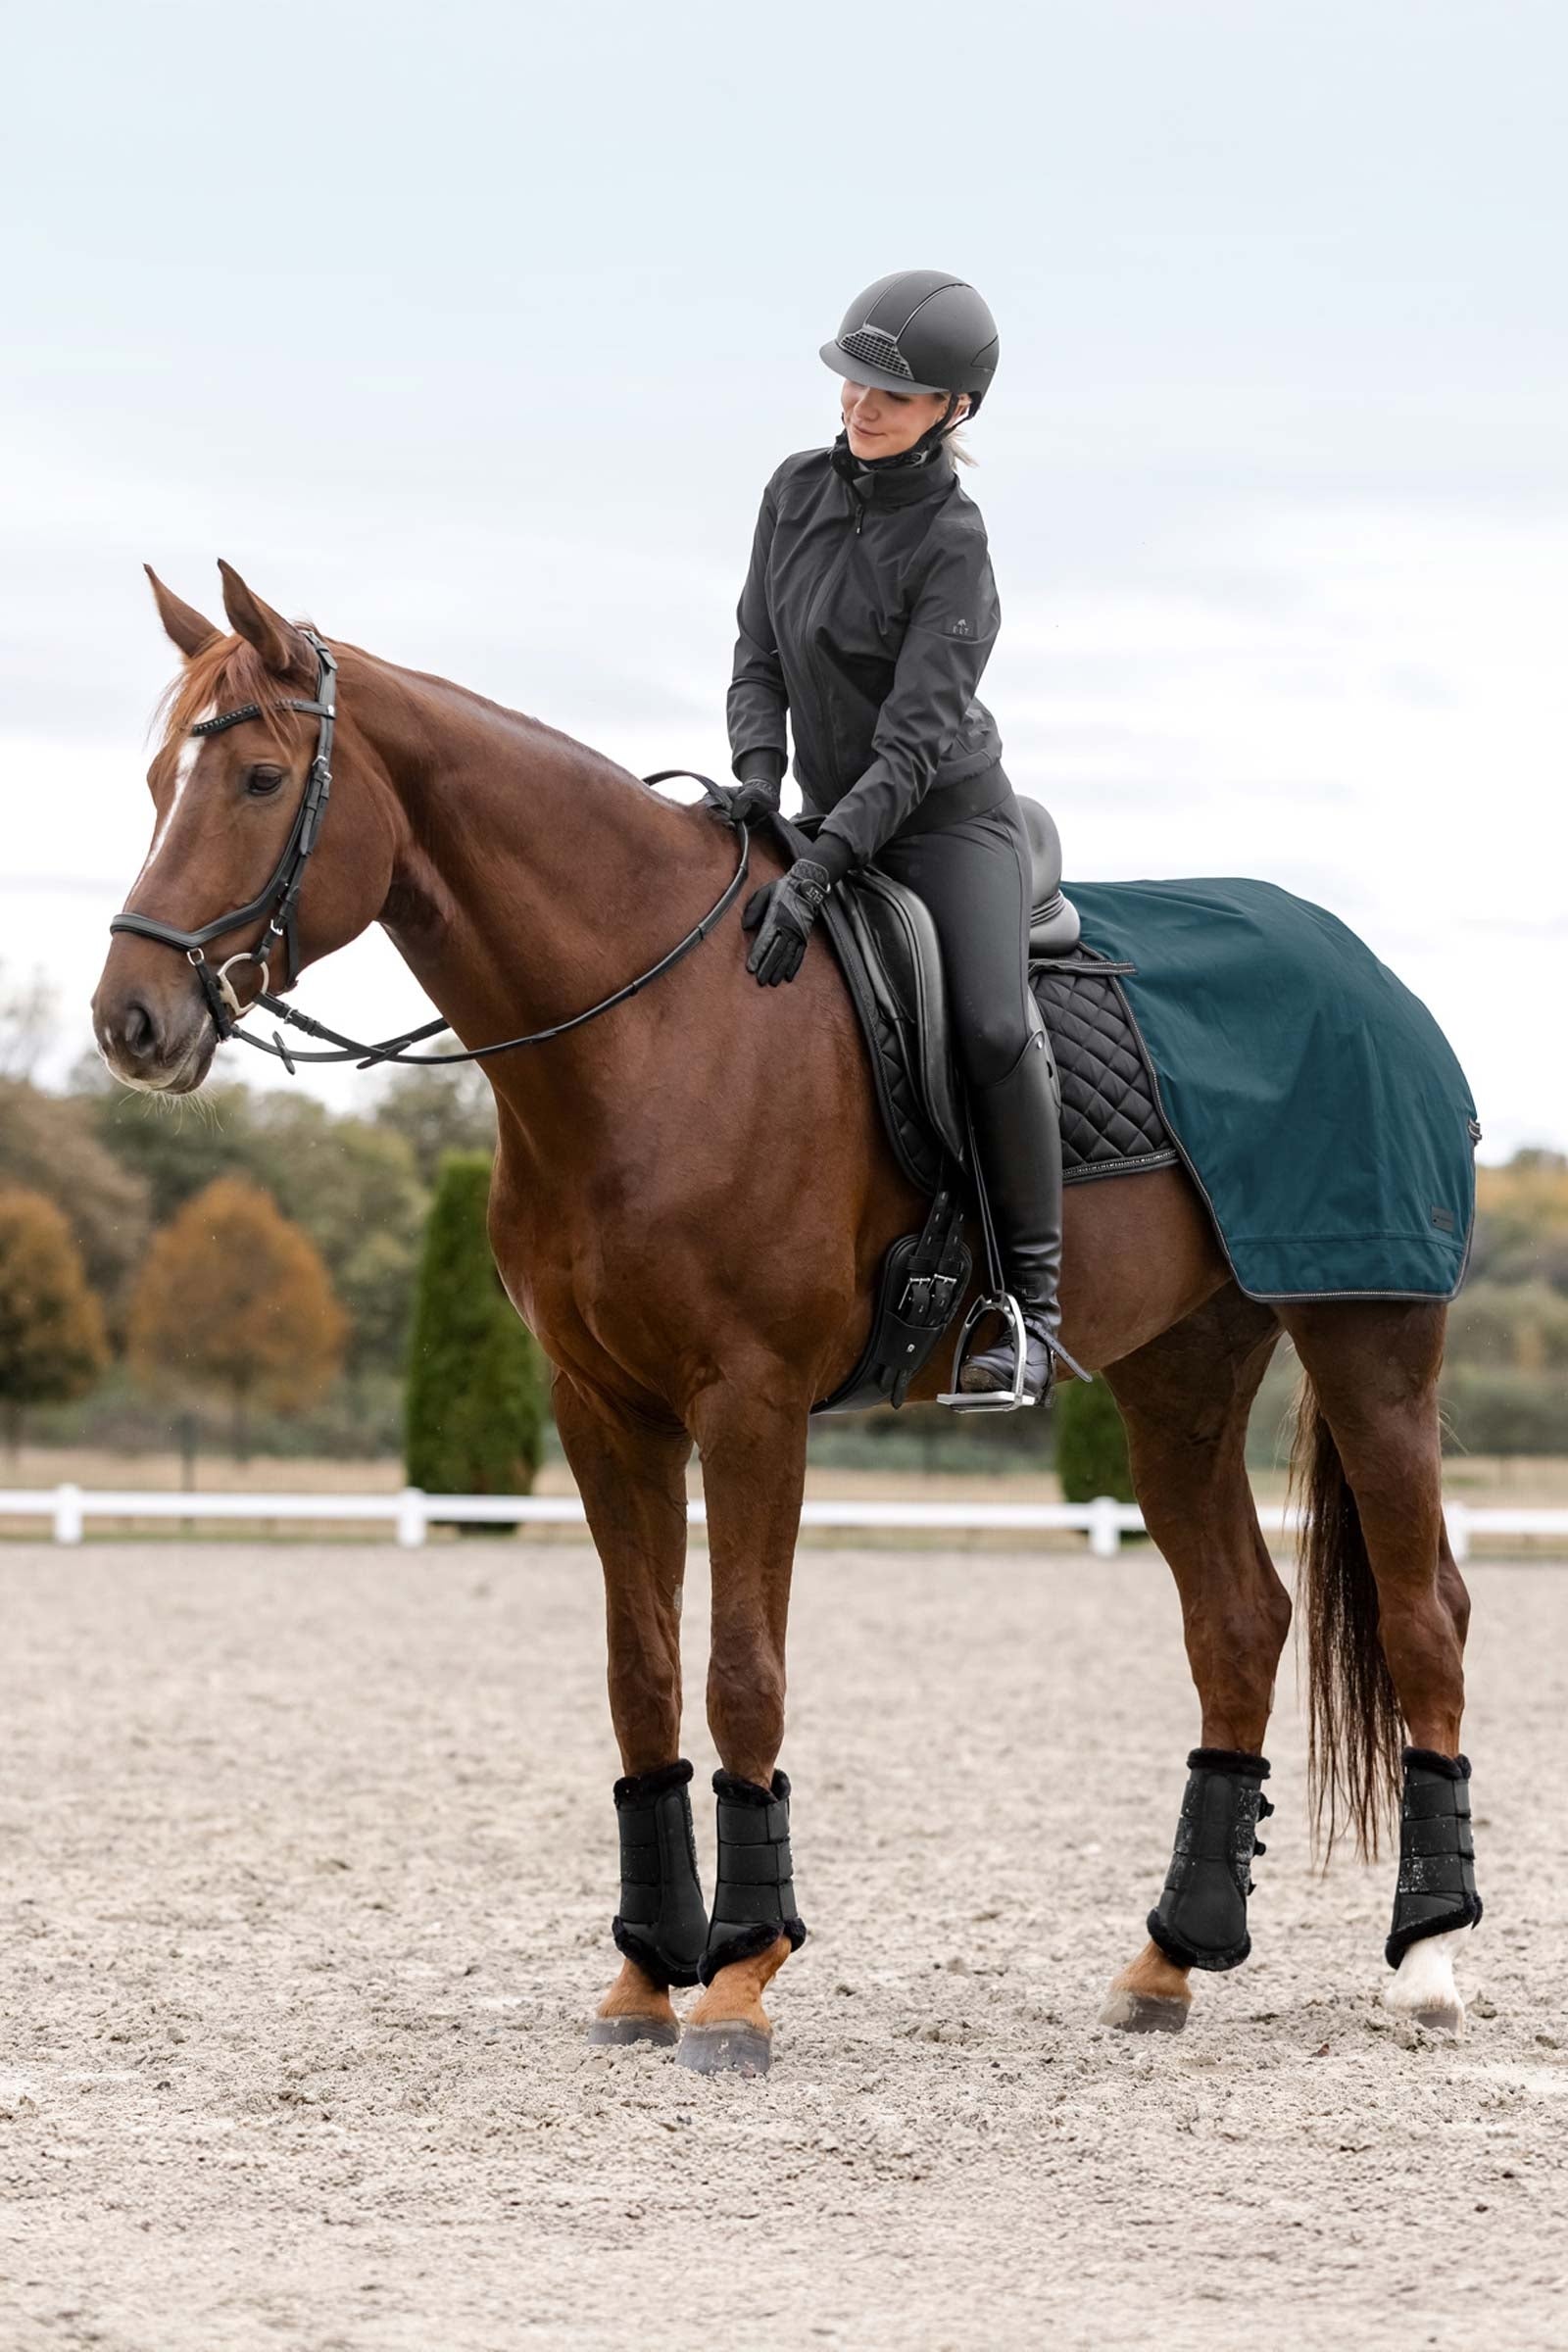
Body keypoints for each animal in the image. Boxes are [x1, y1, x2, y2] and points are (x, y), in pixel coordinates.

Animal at [91, 562, 1479, 2068]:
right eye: (161, 777)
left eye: (261, 778)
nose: (131, 1020)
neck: (649, 1028)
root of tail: (1368, 972)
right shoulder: (605, 1407)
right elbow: (641, 1677)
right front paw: (646, 1975)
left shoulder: (750, 1403)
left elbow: (740, 1674)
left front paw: (741, 1975)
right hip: (1182, 1373)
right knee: (1236, 1621)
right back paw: (1170, 1958)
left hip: (1368, 1341)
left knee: (1426, 1616)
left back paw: (1428, 1964)